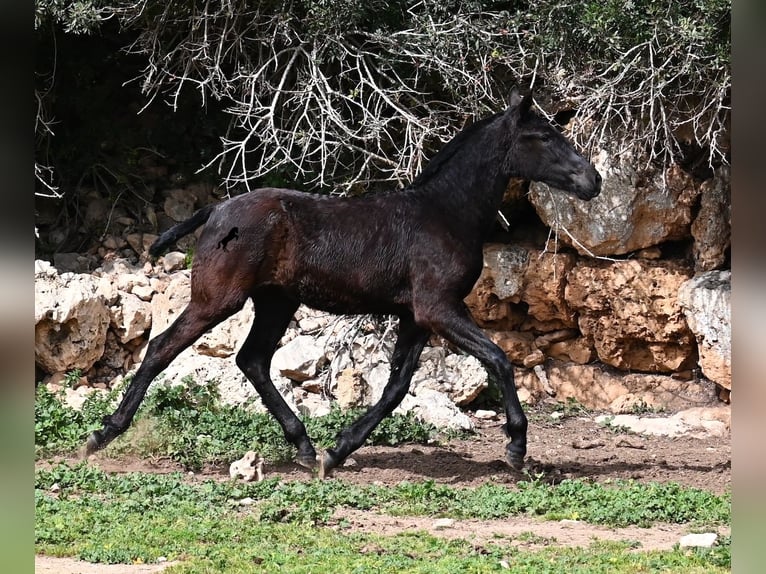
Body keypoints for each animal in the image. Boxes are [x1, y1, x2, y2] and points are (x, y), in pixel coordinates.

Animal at [82, 88, 600, 480]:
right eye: (541, 135)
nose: (592, 180)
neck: (445, 212)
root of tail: (217, 210)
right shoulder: (439, 308)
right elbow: (498, 359)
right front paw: (516, 446)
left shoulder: (417, 316)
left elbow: (396, 388)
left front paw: (338, 450)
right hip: (219, 299)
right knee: (162, 348)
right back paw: (103, 433)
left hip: (276, 302)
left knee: (252, 360)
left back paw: (305, 448)